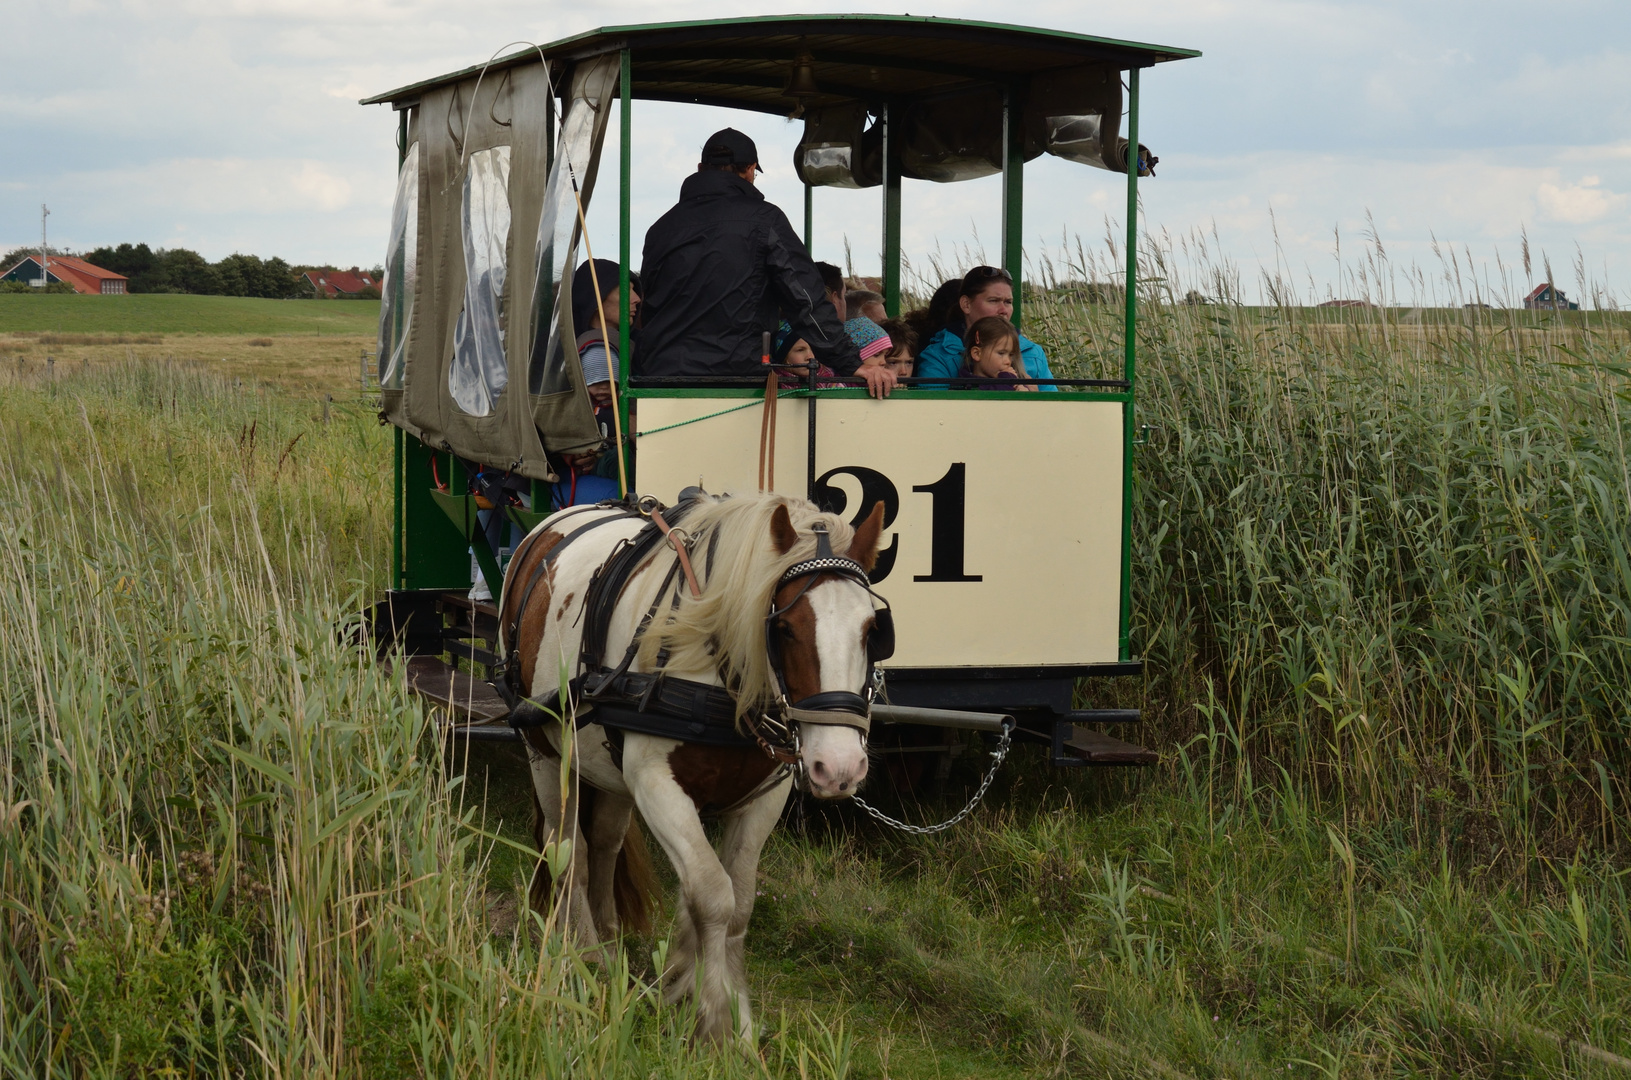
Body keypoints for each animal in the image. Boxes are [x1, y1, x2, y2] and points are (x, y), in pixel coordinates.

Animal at [499, 492, 893, 1050]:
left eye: (872, 629)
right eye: (784, 628)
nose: (839, 767)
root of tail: (553, 524)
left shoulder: (762, 797)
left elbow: (739, 902)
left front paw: (723, 1006)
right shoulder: (656, 785)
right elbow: (711, 894)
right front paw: (716, 1020)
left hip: (607, 768)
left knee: (605, 842)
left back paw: (611, 944)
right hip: (548, 755)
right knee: (568, 851)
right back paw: (588, 956)